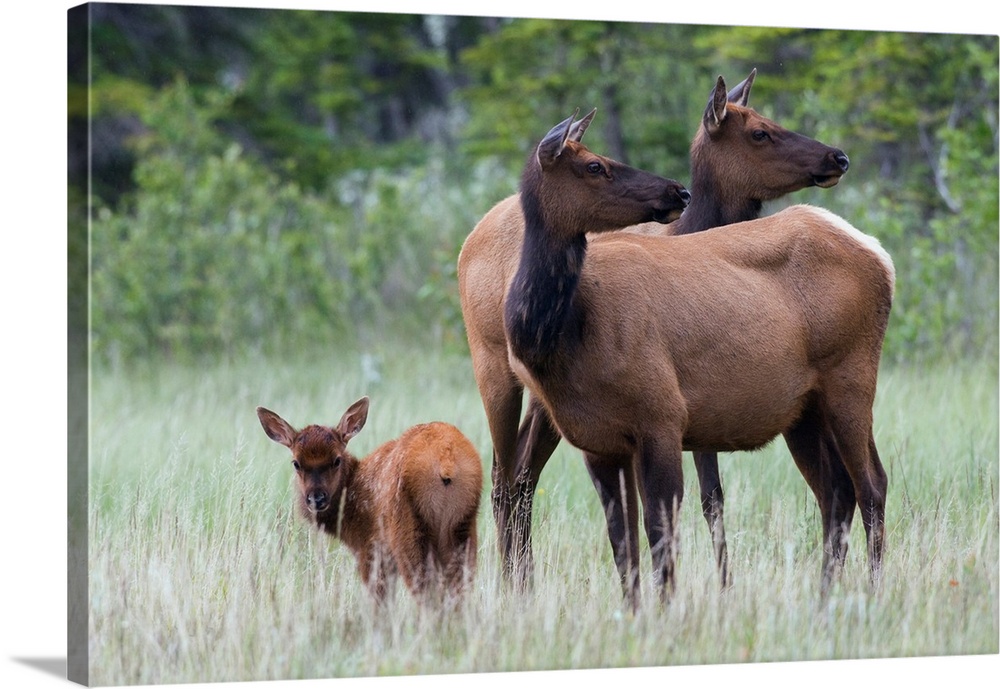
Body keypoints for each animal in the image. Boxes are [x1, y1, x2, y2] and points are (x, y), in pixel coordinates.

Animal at [258, 396, 484, 604]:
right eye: (296, 463)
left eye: (336, 460)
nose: (316, 498)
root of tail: (446, 462)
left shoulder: (371, 548)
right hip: (463, 526)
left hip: (407, 531)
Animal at [456, 70, 852, 592]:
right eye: (759, 132)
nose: (837, 157)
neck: (690, 230)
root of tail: (468, 239)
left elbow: (710, 496)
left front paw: (722, 584)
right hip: (494, 369)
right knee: (503, 479)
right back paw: (510, 585)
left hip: (544, 403)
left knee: (522, 474)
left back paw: (524, 580)